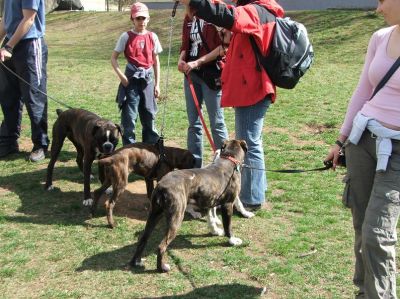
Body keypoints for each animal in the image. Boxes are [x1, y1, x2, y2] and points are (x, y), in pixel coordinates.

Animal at [130, 139, 247, 274]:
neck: (228, 159)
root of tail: (161, 186)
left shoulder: (210, 202)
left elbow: (212, 219)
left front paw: (216, 230)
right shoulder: (227, 205)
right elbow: (228, 227)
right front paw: (232, 240)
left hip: (154, 215)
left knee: (143, 239)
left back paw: (136, 262)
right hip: (176, 218)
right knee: (161, 247)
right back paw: (162, 268)